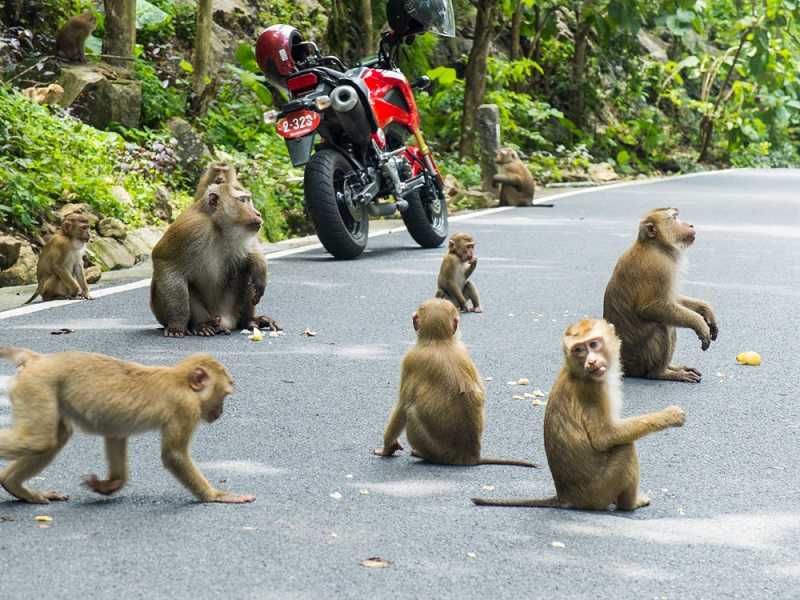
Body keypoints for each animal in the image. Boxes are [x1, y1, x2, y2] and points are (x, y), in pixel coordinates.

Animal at [0, 346, 255, 506]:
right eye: (225, 394)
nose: (220, 413)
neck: (180, 381)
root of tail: (37, 359)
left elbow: (115, 434)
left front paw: (111, 484)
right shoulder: (186, 409)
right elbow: (174, 455)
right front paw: (216, 495)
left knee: (54, 439)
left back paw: (13, 485)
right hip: (38, 386)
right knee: (40, 441)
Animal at [151, 164, 282, 338]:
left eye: (249, 199)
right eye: (243, 200)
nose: (258, 213)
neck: (218, 226)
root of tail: (227, 321)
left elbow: (251, 252)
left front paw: (260, 274)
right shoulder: (190, 228)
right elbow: (165, 261)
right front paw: (177, 324)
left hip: (231, 310)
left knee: (245, 269)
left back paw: (249, 321)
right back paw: (202, 325)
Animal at [374, 300, 536, 468]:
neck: (439, 341)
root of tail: (470, 456)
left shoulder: (410, 359)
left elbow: (402, 407)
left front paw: (387, 447)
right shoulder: (463, 348)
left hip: (437, 450)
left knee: (410, 412)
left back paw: (422, 455)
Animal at [472, 318, 684, 510]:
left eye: (593, 344)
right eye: (579, 349)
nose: (591, 362)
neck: (577, 371)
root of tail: (565, 497)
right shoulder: (593, 390)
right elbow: (605, 437)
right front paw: (671, 415)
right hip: (599, 491)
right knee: (624, 447)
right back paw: (630, 505)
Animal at [600, 209, 720, 382]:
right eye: (674, 218)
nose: (690, 225)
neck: (655, 245)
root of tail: (623, 365)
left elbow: (672, 299)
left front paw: (706, 310)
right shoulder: (660, 268)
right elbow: (651, 308)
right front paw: (699, 322)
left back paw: (672, 367)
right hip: (639, 360)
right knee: (663, 325)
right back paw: (661, 373)